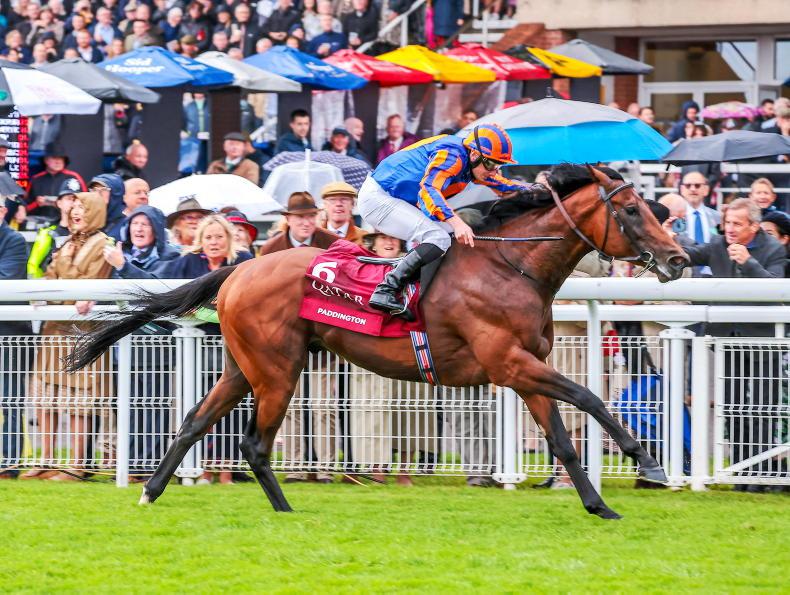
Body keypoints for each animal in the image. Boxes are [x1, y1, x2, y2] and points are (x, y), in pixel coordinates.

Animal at [66, 164, 689, 519]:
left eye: (653, 207)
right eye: (631, 209)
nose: (679, 260)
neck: (511, 267)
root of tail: (241, 266)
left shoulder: (525, 367)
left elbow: (562, 439)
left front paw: (599, 505)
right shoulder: (508, 363)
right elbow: (589, 398)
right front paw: (646, 461)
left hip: (245, 366)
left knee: (195, 421)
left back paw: (151, 492)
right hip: (278, 370)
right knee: (255, 443)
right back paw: (286, 508)